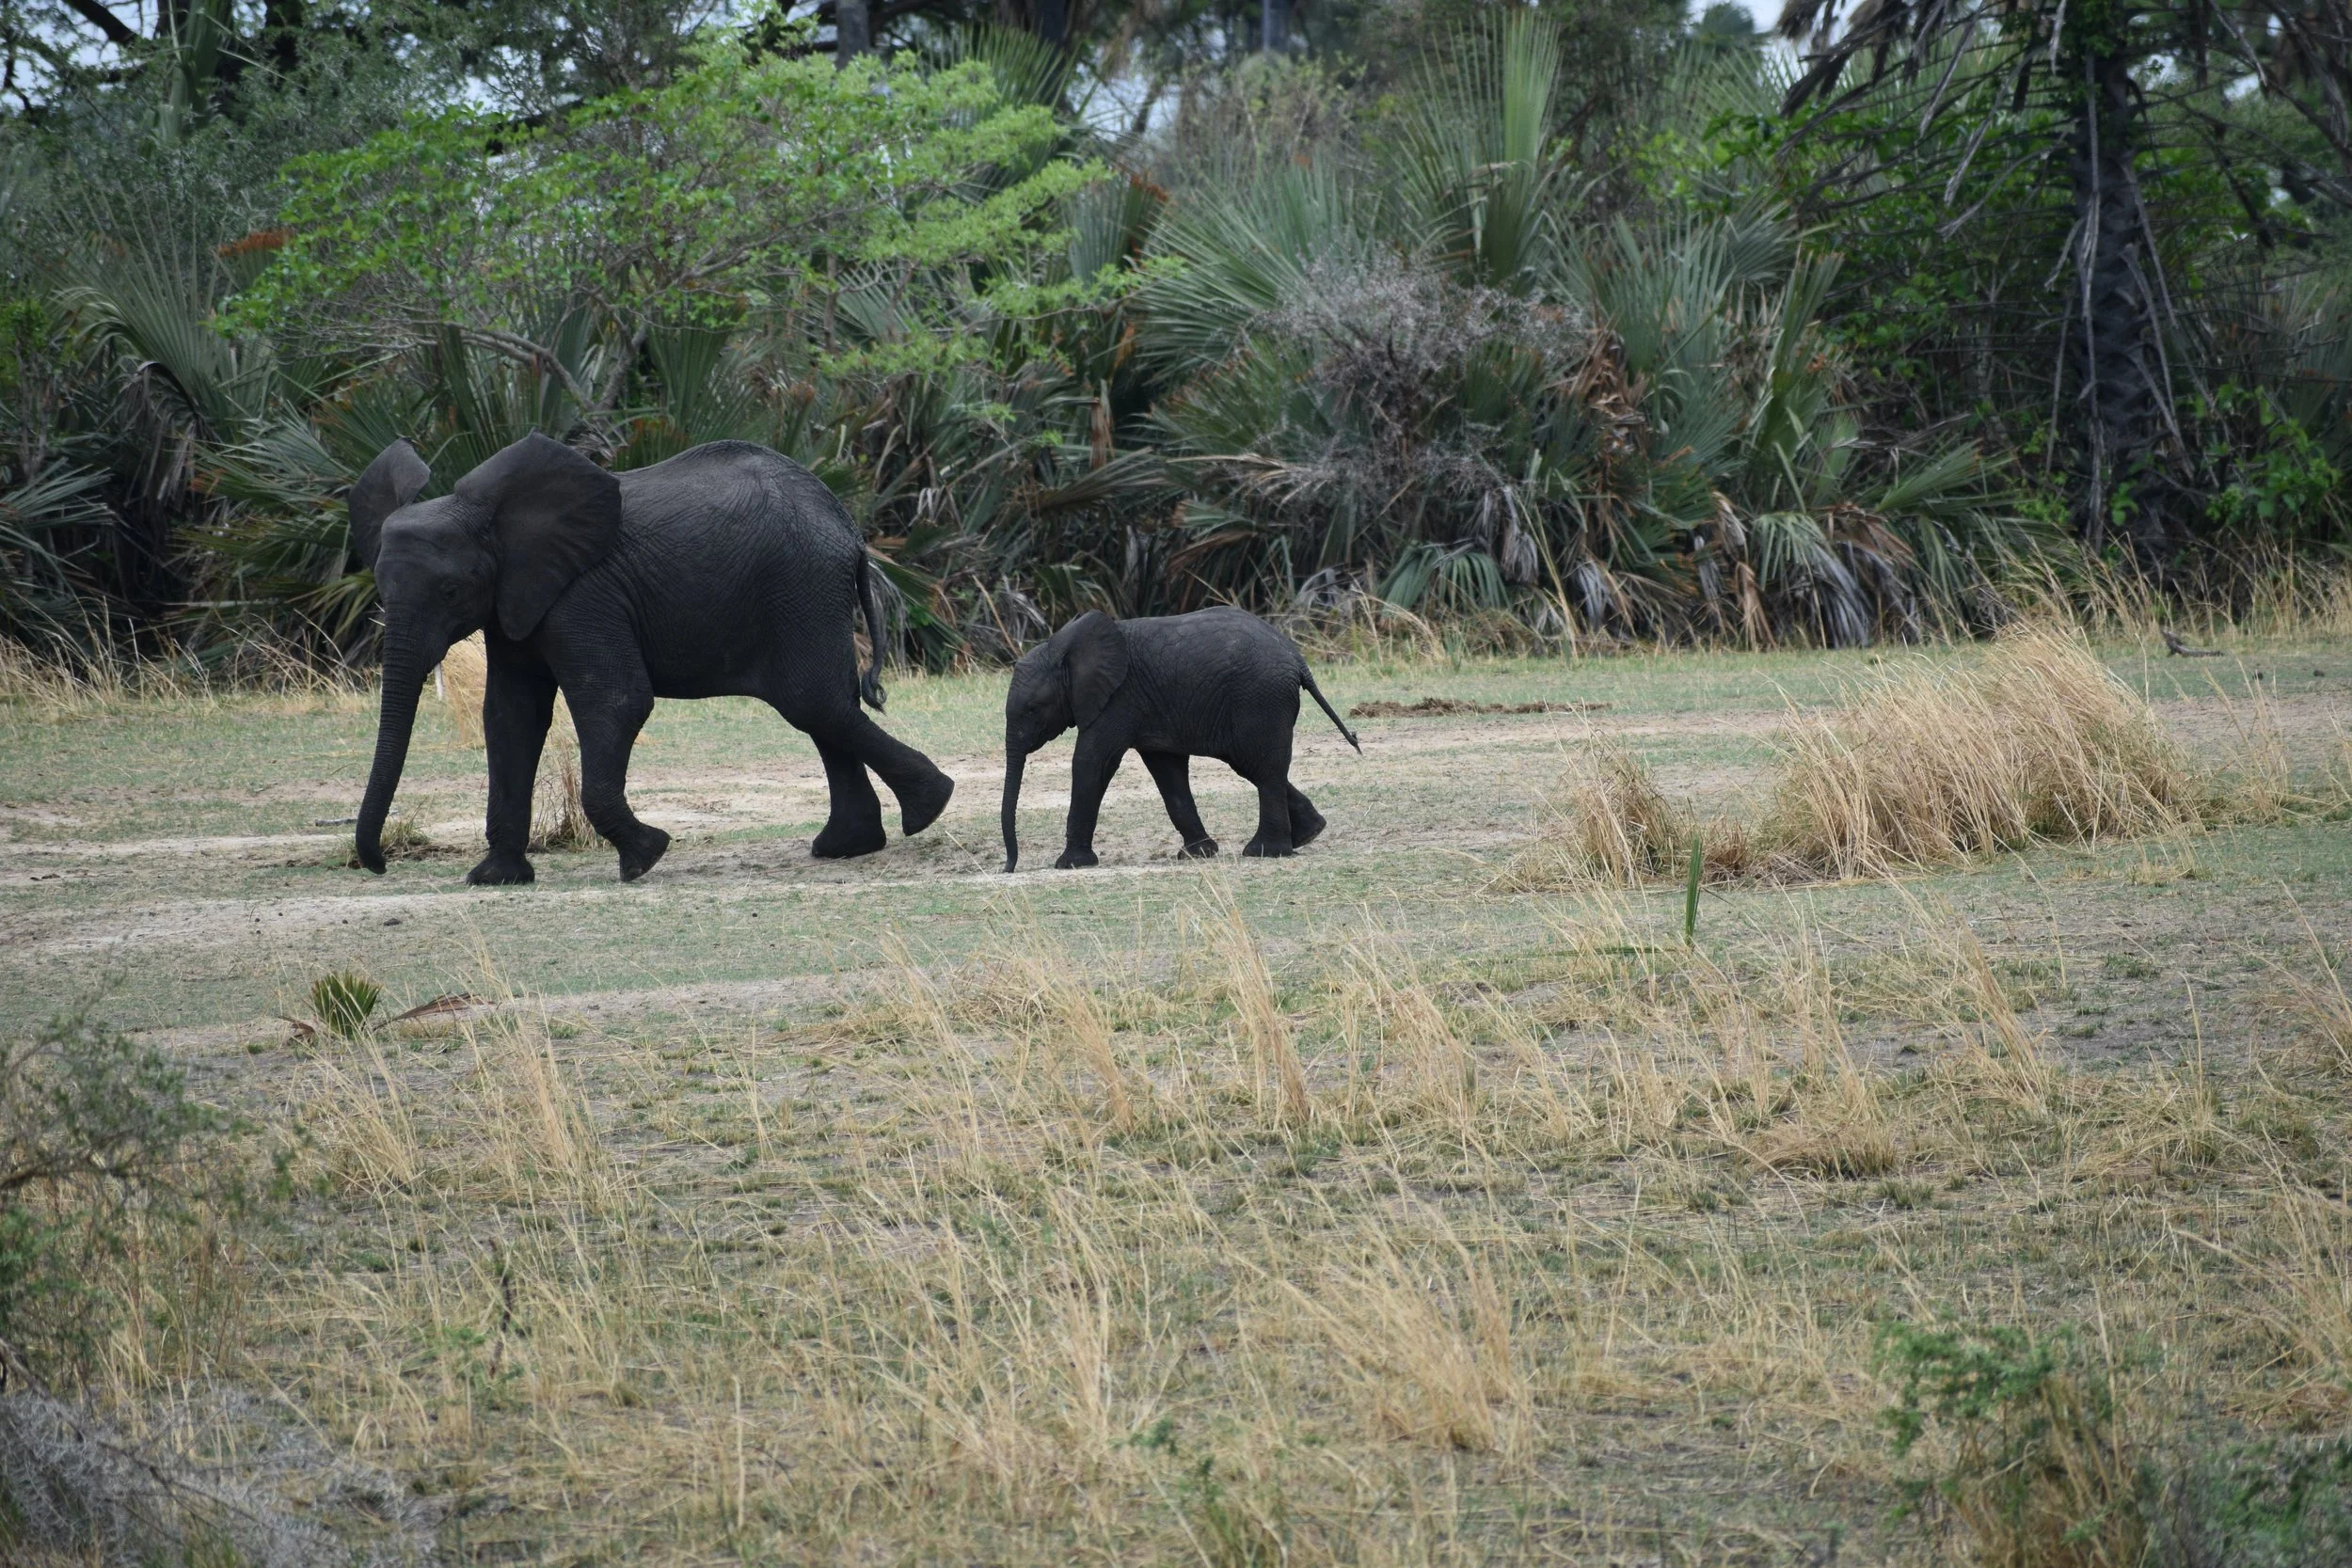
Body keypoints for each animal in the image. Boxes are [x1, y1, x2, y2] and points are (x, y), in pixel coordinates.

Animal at [347, 432, 955, 884]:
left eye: (450, 591)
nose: (376, 866)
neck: (492, 517)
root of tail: (850, 532)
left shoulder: (581, 596)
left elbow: (617, 701)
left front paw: (646, 856)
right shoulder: (514, 601)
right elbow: (511, 717)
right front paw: (495, 878)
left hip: (800, 585)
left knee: (814, 701)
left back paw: (929, 807)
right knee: (824, 708)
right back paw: (849, 846)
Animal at [999, 606, 1360, 872]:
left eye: (1032, 709)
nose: (1007, 868)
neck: (1062, 646)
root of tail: (1297, 658)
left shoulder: (1119, 699)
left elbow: (1092, 763)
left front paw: (1070, 864)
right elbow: (1166, 771)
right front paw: (1198, 854)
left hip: (1260, 699)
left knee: (1262, 767)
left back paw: (1264, 852)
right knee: (1255, 766)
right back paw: (1310, 833)